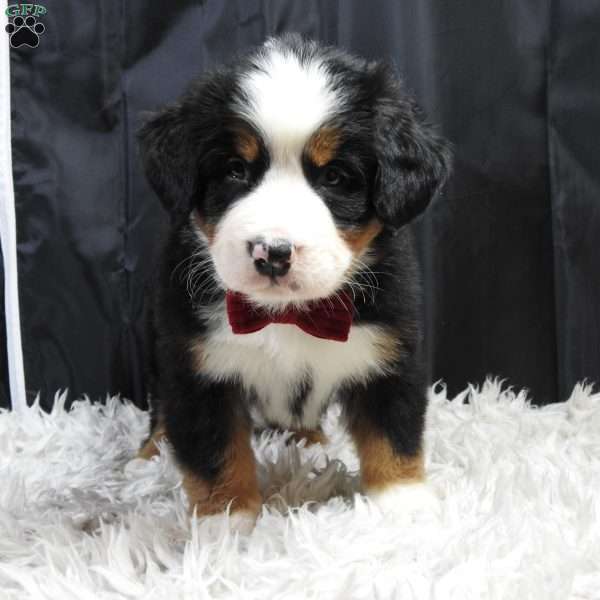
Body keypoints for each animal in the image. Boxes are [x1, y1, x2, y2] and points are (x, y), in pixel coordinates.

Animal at [137, 34, 450, 528]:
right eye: (235, 170)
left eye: (336, 177)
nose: (273, 252)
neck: (286, 315)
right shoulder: (196, 366)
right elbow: (214, 452)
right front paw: (224, 520)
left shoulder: (392, 349)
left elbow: (393, 431)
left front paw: (404, 501)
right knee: (160, 409)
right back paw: (149, 452)